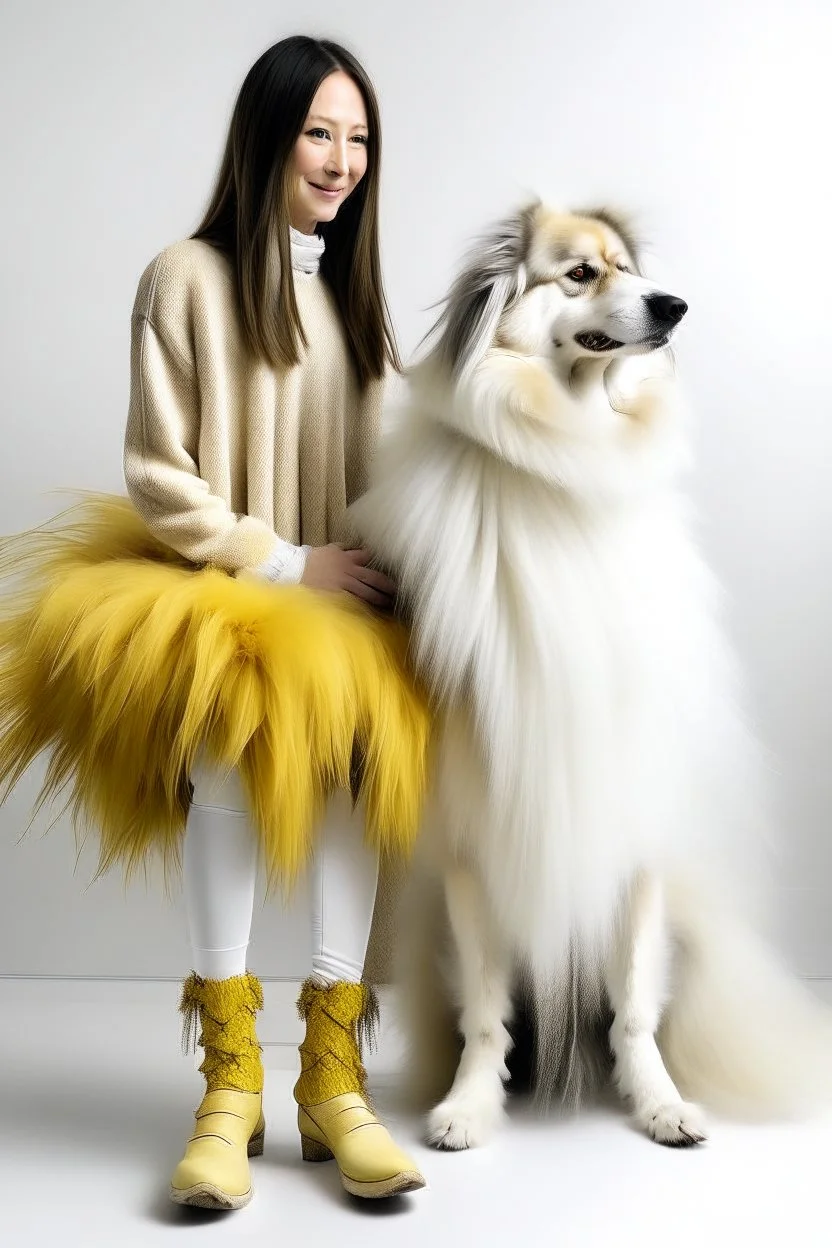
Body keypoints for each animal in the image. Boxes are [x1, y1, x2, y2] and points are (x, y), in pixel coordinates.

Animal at [351, 199, 832, 1143]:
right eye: (580, 273)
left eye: (631, 269)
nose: (675, 306)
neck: (568, 456)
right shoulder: (472, 843)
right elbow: (487, 1012)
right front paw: (469, 1106)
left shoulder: (633, 831)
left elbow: (634, 1005)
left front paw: (659, 1105)